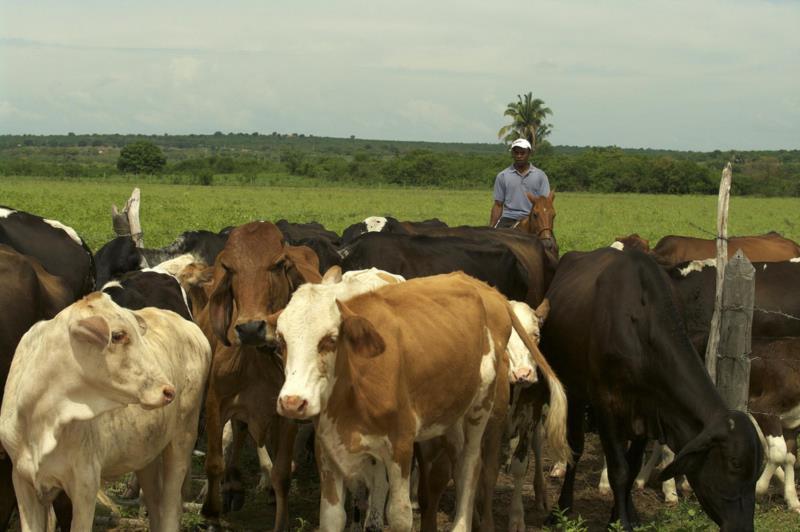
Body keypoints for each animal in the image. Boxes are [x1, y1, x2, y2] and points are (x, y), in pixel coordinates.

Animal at [0, 290, 211, 532]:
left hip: (182, 440)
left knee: (171, 507)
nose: (168, 391)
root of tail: (189, 325)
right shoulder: (21, 479)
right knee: (155, 503)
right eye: (118, 335)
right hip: (146, 453)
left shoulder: (86, 483)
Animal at [197, 221, 322, 532]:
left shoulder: (286, 413)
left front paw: (281, 520)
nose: (251, 328)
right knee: (239, 432)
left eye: (277, 264)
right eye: (228, 268)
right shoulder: (216, 401)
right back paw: (232, 486)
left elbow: (282, 473)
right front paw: (211, 513)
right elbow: (214, 462)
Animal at [544, 249, 764, 532]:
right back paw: (562, 508)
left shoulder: (648, 410)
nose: (743, 526)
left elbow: (631, 466)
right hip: (573, 389)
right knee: (576, 447)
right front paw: (621, 523)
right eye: (735, 464)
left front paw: (620, 517)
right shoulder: (605, 404)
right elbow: (619, 470)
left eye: (757, 472)